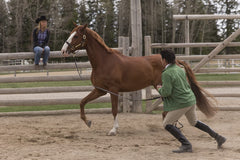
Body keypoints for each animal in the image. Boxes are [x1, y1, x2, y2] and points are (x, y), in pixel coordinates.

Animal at [61, 24, 217, 136]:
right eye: (71, 34)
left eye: (76, 36)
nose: (63, 51)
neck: (104, 62)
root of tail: (176, 61)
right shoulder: (100, 90)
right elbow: (82, 102)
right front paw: (87, 121)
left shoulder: (113, 90)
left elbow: (114, 110)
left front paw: (113, 130)